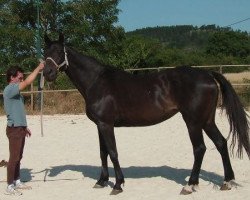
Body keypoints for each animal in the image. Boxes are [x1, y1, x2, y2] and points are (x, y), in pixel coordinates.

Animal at [42, 33, 249, 195]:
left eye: (59, 52)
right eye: (45, 53)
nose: (47, 73)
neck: (97, 81)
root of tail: (208, 74)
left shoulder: (106, 124)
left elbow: (113, 152)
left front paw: (118, 185)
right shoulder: (99, 125)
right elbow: (103, 153)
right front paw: (101, 181)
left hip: (193, 122)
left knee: (199, 149)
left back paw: (190, 185)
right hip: (207, 120)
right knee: (221, 143)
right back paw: (226, 182)